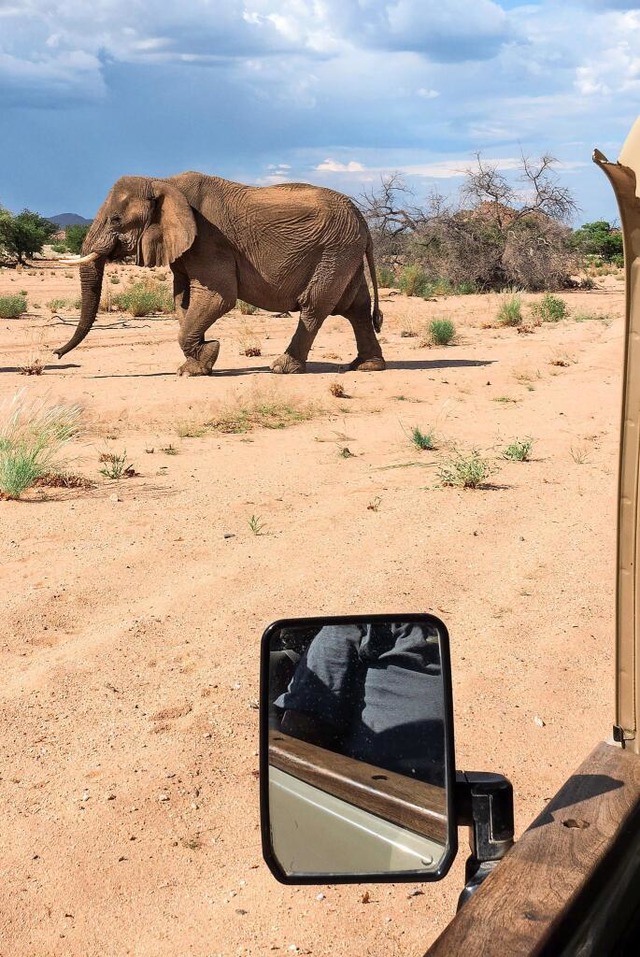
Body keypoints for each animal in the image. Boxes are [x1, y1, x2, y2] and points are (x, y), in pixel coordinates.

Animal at [55, 173, 386, 376]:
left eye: (115, 219)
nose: (56, 354)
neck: (162, 181)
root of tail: (362, 219)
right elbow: (182, 301)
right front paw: (199, 364)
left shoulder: (209, 239)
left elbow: (218, 297)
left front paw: (202, 361)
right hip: (345, 252)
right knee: (355, 307)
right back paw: (366, 366)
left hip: (335, 250)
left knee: (315, 307)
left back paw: (282, 368)